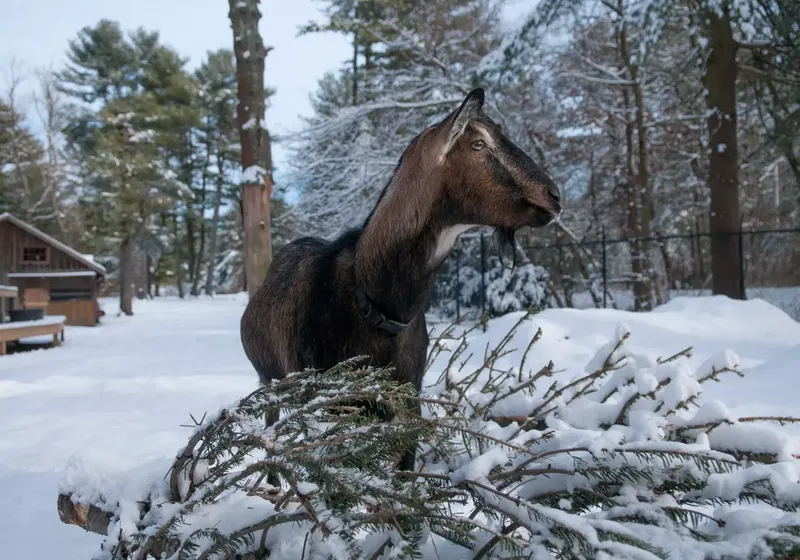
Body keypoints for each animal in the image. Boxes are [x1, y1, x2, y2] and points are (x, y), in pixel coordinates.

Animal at [241, 88, 561, 472]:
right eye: (478, 144)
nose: (554, 196)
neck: (378, 307)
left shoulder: (407, 404)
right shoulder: (332, 405)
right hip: (272, 385)